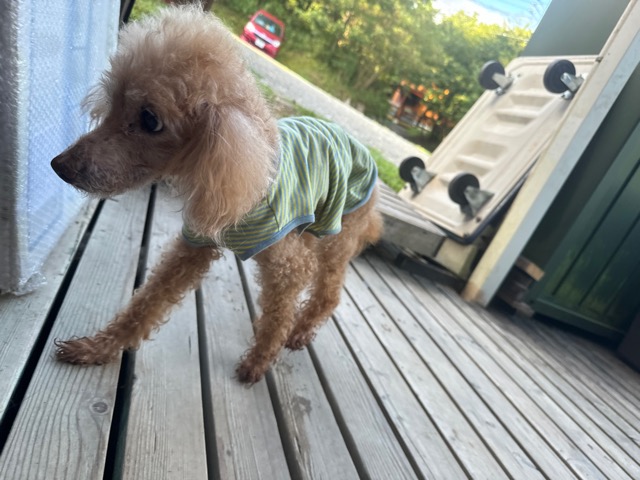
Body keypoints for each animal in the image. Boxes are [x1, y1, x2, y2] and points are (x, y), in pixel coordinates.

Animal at [50, 5, 382, 383]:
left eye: (150, 120)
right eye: (113, 102)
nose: (58, 165)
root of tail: (364, 151)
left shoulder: (287, 265)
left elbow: (280, 311)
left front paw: (259, 361)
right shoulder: (194, 245)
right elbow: (148, 301)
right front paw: (96, 347)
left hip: (340, 230)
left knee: (329, 291)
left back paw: (300, 331)